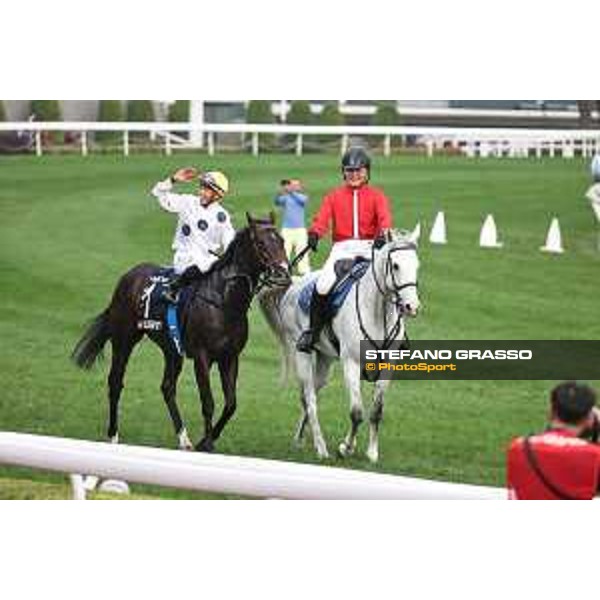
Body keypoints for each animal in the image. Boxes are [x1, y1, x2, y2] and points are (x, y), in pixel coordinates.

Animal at [70, 213, 290, 452]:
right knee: (115, 382)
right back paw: (113, 435)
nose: (283, 273)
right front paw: (208, 444)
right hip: (124, 339)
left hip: (171, 350)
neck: (224, 301)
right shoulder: (202, 357)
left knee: (167, 387)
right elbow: (208, 402)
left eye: (282, 241)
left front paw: (205, 440)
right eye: (261, 243)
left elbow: (231, 404)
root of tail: (127, 277)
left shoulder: (230, 357)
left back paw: (184, 439)